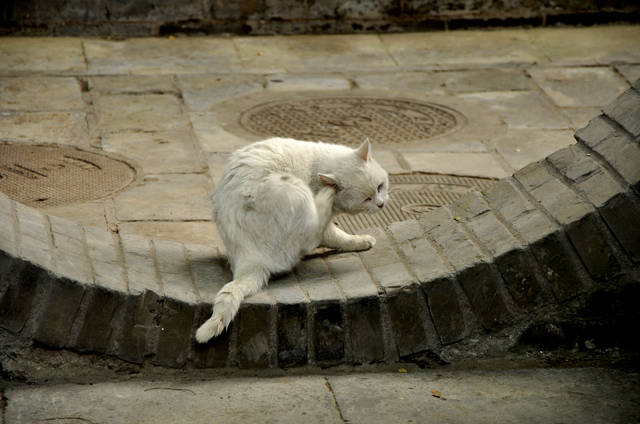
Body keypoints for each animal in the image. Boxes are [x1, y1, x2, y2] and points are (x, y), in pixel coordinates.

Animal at [194, 137, 390, 342]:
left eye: (380, 187)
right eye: (367, 199)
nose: (381, 204)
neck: (317, 169)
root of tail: (247, 257)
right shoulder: (326, 228)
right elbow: (339, 237)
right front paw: (361, 240)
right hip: (292, 186)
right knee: (311, 235)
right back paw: (325, 197)